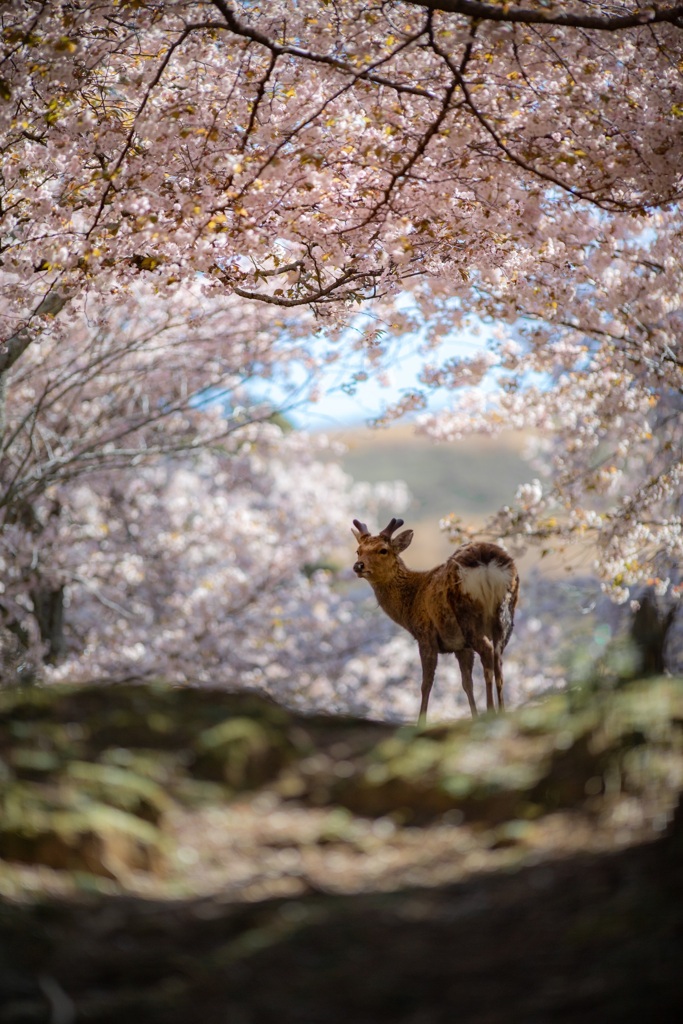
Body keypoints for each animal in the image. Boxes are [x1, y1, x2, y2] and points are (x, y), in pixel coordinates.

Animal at [352, 520, 518, 720]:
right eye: (358, 550)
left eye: (383, 550)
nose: (358, 566)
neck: (411, 603)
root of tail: (486, 562)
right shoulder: (461, 646)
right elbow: (466, 683)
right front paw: (474, 716)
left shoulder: (425, 634)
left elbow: (426, 683)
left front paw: (421, 721)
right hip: (505, 614)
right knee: (498, 659)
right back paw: (502, 712)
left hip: (466, 614)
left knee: (487, 651)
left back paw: (491, 711)